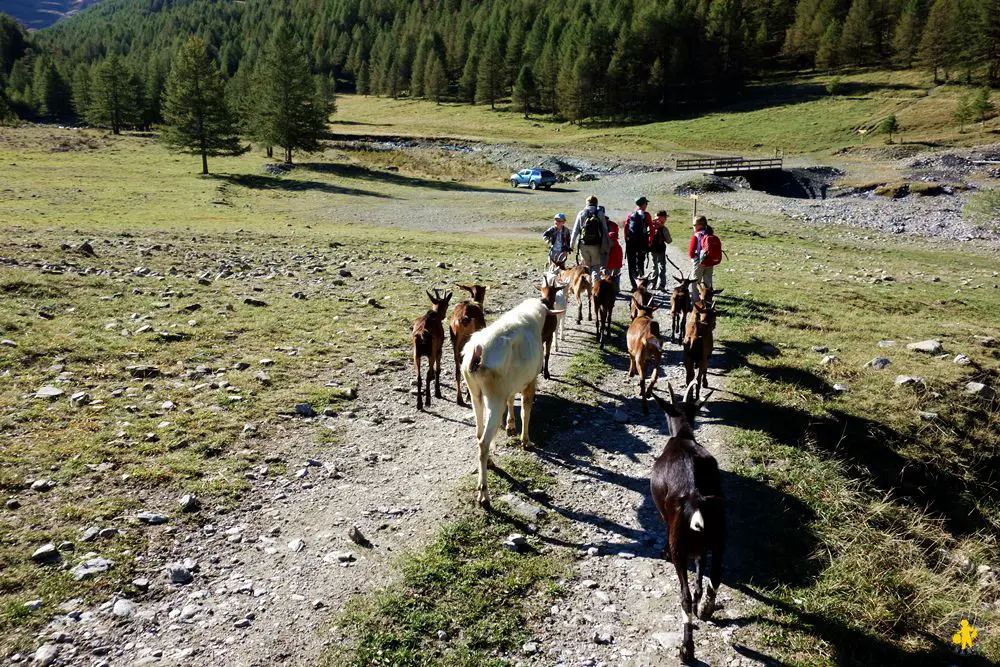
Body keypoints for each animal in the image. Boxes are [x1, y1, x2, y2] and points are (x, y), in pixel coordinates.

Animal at [464, 298, 552, 506]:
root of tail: (477, 354)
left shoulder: (511, 385)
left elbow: (512, 401)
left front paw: (511, 426)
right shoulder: (530, 381)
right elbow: (526, 411)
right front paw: (525, 441)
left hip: (475, 393)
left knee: (478, 433)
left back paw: (489, 462)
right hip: (494, 399)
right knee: (483, 442)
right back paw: (484, 494)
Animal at [648, 384, 728, 664]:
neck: (683, 437)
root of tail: (695, 498)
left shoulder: (667, 521)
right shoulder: (702, 544)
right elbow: (701, 569)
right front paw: (698, 600)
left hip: (679, 546)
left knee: (682, 595)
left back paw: (687, 649)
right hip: (719, 534)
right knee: (715, 573)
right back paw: (705, 608)